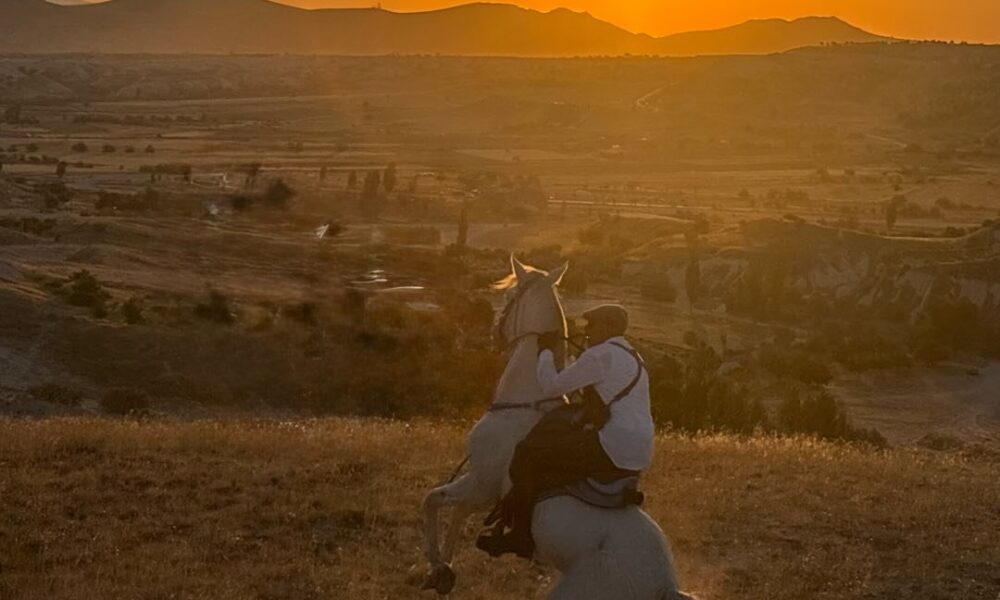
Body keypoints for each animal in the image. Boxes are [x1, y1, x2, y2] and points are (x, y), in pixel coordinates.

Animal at [421, 256, 693, 600]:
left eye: (509, 296)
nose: (495, 332)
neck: (523, 402)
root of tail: (665, 586)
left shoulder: (480, 483)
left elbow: (432, 500)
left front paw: (436, 568)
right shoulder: (481, 489)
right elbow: (454, 510)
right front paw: (444, 570)